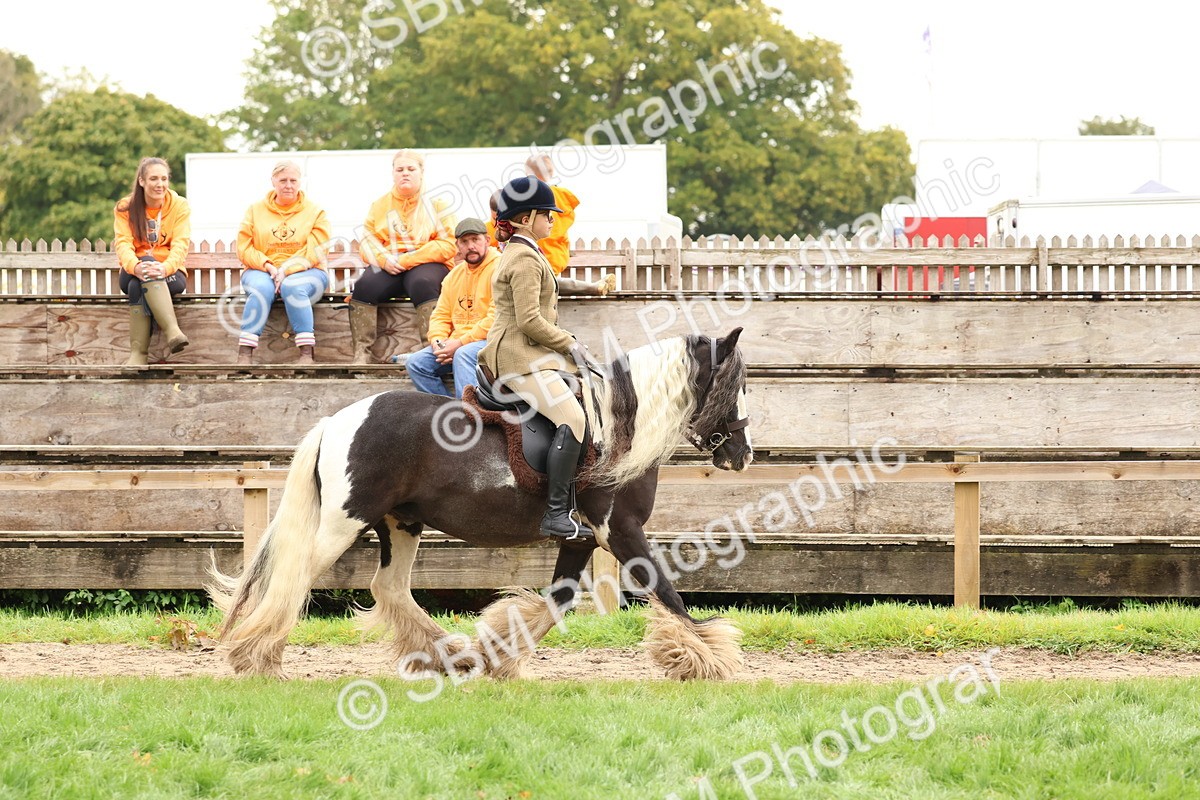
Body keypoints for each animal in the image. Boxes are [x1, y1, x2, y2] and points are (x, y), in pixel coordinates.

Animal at [209, 327, 753, 681]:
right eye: (736, 386)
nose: (743, 454)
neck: (618, 430)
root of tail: (337, 420)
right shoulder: (619, 529)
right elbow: (669, 593)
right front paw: (709, 658)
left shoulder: (583, 537)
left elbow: (558, 598)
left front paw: (498, 655)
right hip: (345, 522)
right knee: (296, 577)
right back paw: (256, 658)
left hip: (401, 524)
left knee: (389, 587)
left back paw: (451, 655)